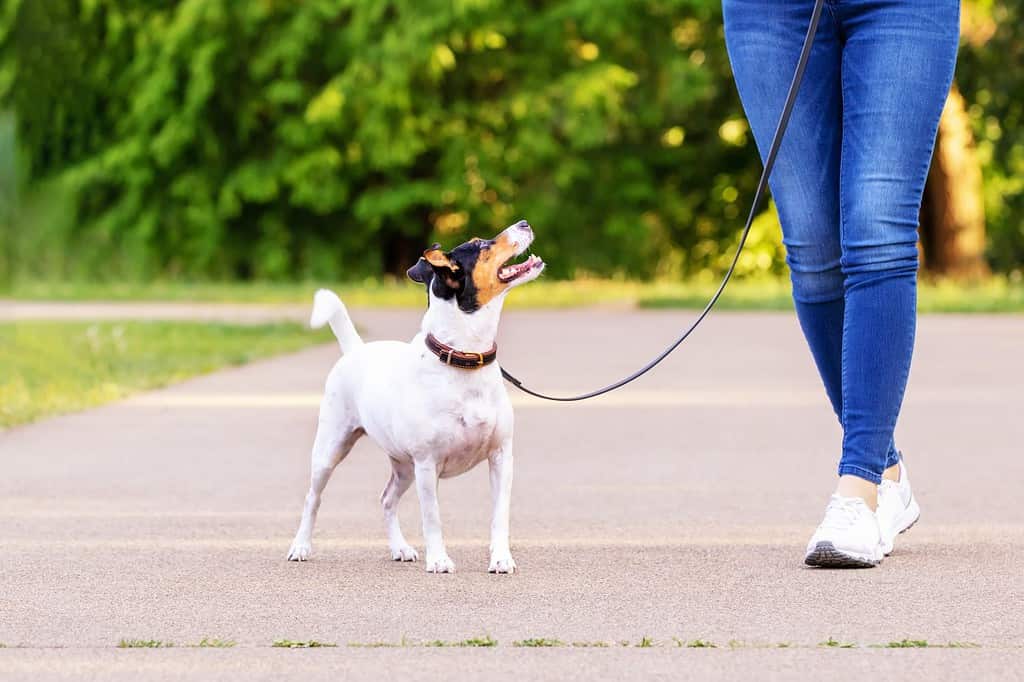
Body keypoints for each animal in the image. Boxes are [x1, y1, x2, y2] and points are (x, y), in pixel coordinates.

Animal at [286, 220, 544, 569]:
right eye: (481, 245)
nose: (524, 223)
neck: (464, 357)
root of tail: (355, 349)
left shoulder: (501, 457)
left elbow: (499, 516)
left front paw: (501, 559)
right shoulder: (427, 464)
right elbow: (432, 518)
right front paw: (439, 560)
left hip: (403, 467)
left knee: (386, 499)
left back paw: (400, 548)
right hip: (330, 451)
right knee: (313, 499)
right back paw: (300, 546)